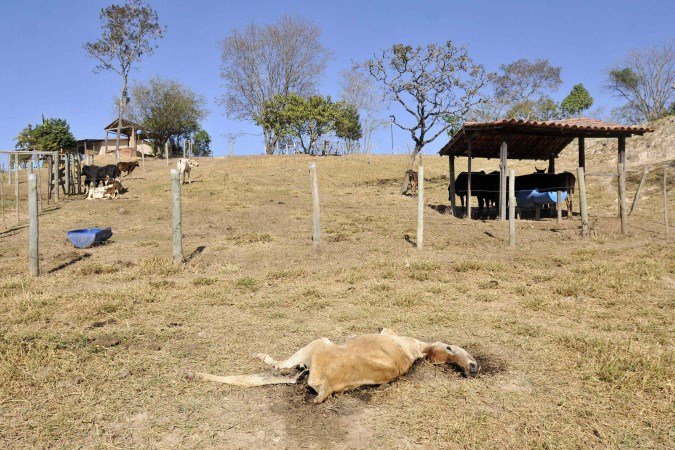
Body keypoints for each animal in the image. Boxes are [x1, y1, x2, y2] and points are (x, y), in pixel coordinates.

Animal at [194, 328, 478, 404]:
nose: (473, 367)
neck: (418, 350)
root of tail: (328, 387)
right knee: (277, 376)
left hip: (316, 344)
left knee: (277, 369)